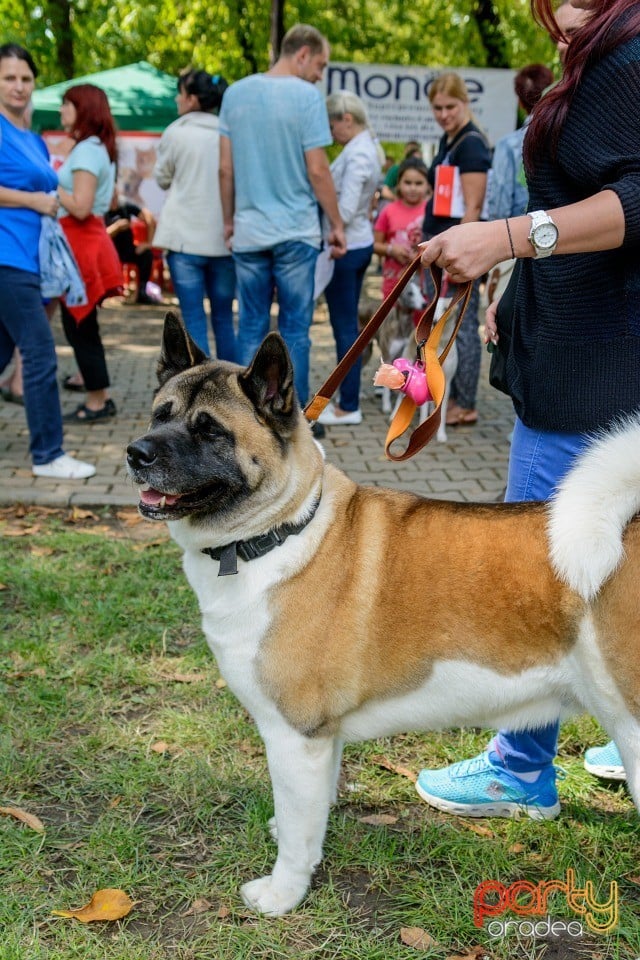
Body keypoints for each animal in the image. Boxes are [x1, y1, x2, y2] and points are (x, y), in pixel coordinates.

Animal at [126, 314, 640, 916]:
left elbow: (298, 829)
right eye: (161, 414)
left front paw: (282, 892)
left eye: (210, 432)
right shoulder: (322, 740)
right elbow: (311, 812)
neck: (279, 532)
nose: (135, 453)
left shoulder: (295, 735)